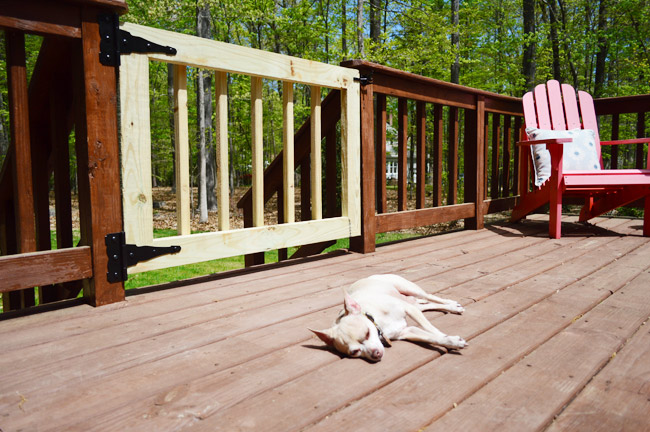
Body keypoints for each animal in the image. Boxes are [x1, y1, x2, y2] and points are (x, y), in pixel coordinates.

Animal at [310, 274, 466, 362]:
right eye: (355, 352)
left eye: (367, 333)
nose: (375, 354)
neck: (380, 322)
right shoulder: (407, 331)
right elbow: (430, 337)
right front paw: (450, 341)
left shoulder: (408, 310)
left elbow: (431, 329)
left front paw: (448, 338)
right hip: (414, 304)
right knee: (427, 304)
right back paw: (452, 307)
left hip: (410, 289)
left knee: (431, 297)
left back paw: (452, 305)